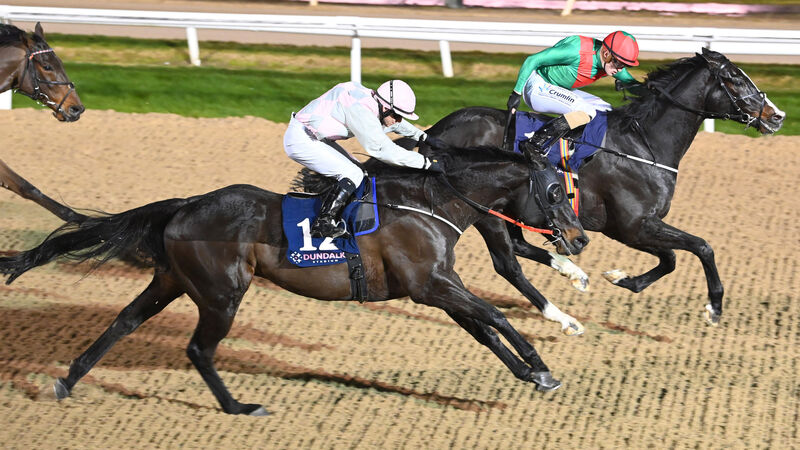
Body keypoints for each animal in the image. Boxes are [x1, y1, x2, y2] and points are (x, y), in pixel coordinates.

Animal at [0, 147, 588, 415]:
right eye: (555, 192)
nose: (580, 241)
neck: (431, 203)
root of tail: (185, 204)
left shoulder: (436, 287)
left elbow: (484, 329)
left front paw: (529, 370)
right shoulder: (432, 285)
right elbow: (492, 314)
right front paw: (541, 366)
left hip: (170, 280)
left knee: (123, 322)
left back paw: (68, 380)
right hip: (222, 292)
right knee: (198, 348)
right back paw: (238, 407)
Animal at [416, 48, 785, 328]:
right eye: (735, 78)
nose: (778, 115)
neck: (644, 145)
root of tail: (435, 129)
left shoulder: (637, 227)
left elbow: (670, 259)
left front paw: (623, 279)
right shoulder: (631, 226)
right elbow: (701, 247)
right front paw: (714, 307)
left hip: (514, 209)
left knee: (519, 247)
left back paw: (573, 272)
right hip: (487, 212)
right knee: (508, 263)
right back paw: (562, 315)